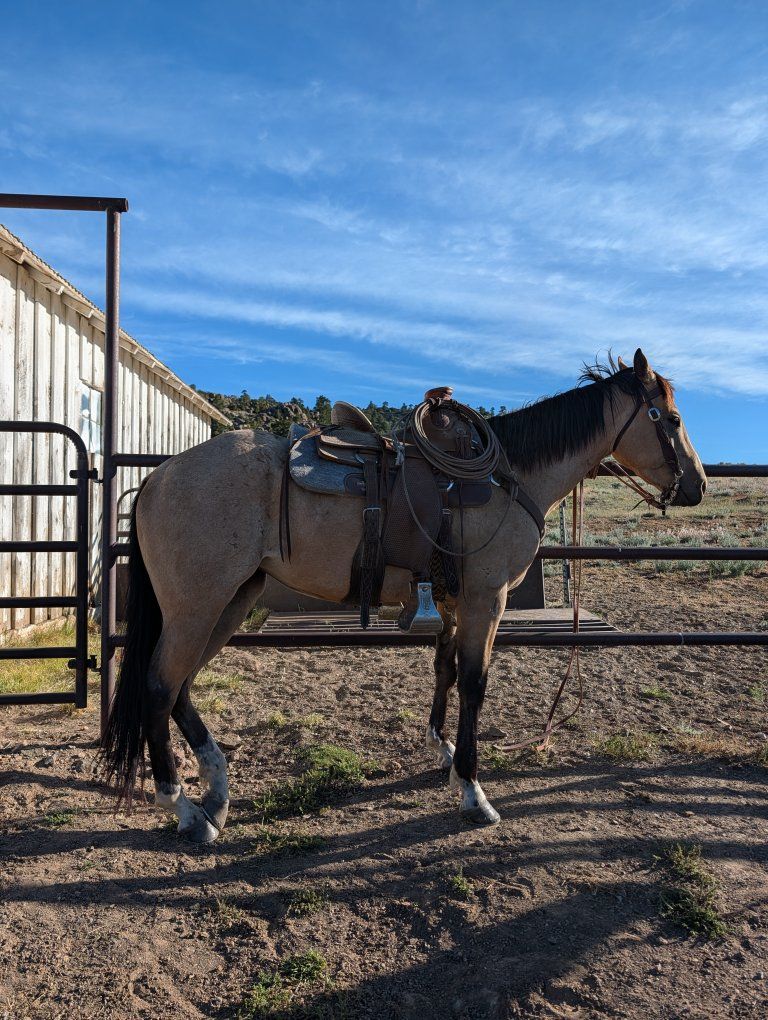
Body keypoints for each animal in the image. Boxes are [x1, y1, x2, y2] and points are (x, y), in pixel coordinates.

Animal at [101, 349, 706, 842]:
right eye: (673, 419)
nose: (698, 484)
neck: (509, 477)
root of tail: (157, 478)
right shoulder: (487, 600)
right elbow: (475, 684)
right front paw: (473, 791)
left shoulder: (454, 602)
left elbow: (445, 671)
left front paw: (443, 753)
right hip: (196, 607)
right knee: (160, 687)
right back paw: (183, 807)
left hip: (228, 603)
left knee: (180, 688)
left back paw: (217, 791)